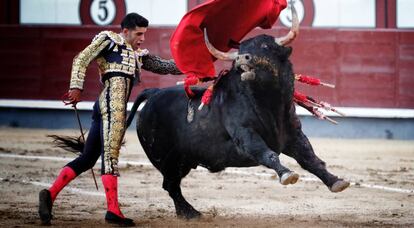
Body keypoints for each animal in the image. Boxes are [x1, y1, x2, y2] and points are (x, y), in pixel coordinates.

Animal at [126, 3, 350, 220]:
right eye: (241, 48)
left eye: (265, 46)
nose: (243, 57)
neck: (270, 103)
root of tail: (154, 93)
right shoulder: (245, 135)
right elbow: (269, 155)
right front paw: (287, 174)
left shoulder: (294, 135)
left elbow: (310, 158)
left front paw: (336, 181)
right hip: (165, 158)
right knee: (171, 185)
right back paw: (190, 213)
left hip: (183, 160)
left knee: (171, 185)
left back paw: (187, 212)